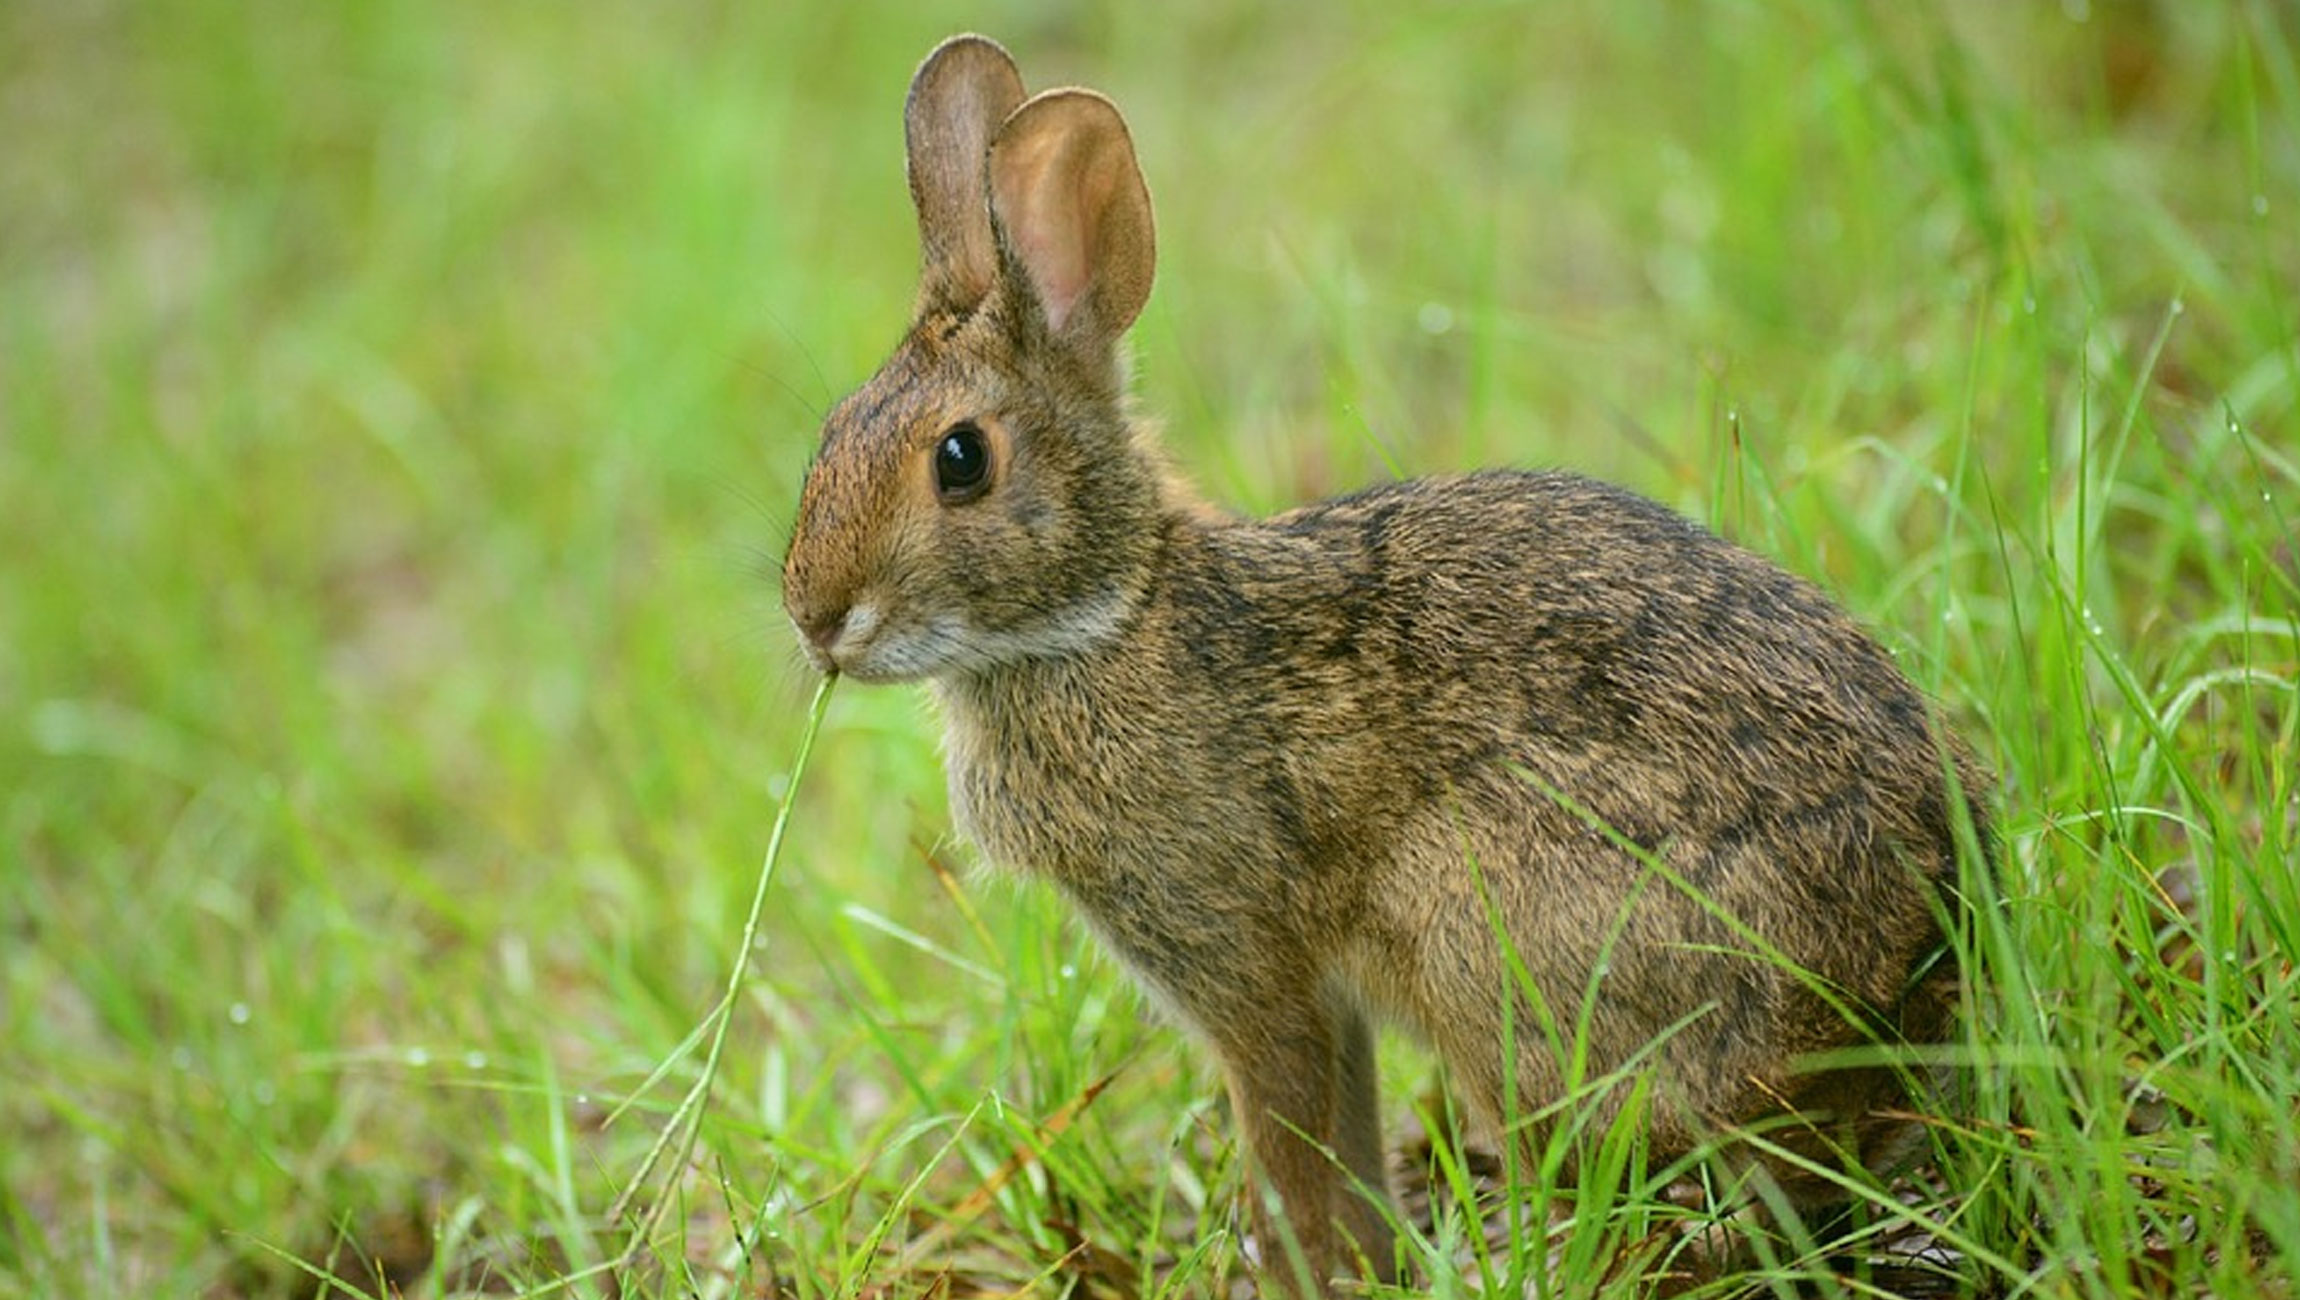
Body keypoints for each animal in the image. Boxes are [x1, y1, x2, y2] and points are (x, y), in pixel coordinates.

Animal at [779, 33, 1994, 1295]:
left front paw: (1301, 1271)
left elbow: (1287, 1136)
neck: (1110, 614)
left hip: (1494, 939)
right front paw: (1363, 1261)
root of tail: (1907, 976)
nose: (814, 619)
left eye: (960, 460)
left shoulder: (1249, 965)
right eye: (833, 429)